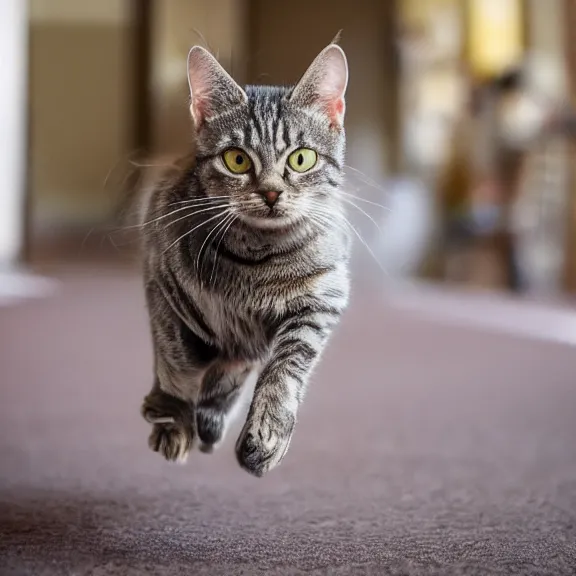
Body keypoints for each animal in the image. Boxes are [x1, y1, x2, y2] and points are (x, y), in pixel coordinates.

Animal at [138, 44, 352, 476]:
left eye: (301, 159)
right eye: (236, 160)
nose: (270, 193)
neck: (257, 259)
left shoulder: (324, 296)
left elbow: (285, 368)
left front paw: (267, 431)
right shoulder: (163, 285)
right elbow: (175, 362)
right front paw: (174, 418)